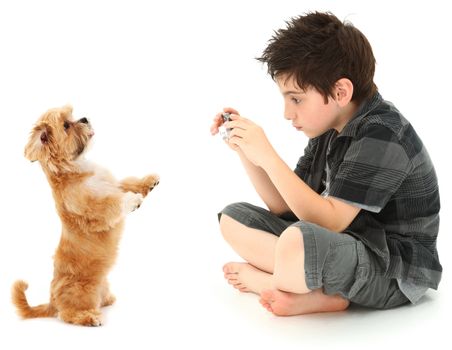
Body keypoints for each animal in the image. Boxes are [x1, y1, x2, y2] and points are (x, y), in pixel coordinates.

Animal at [11, 105, 160, 326]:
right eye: (66, 125)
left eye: (72, 117)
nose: (84, 118)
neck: (77, 168)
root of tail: (52, 300)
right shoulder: (94, 208)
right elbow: (113, 203)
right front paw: (132, 200)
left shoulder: (114, 185)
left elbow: (129, 182)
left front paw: (149, 181)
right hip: (82, 292)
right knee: (67, 314)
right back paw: (89, 317)